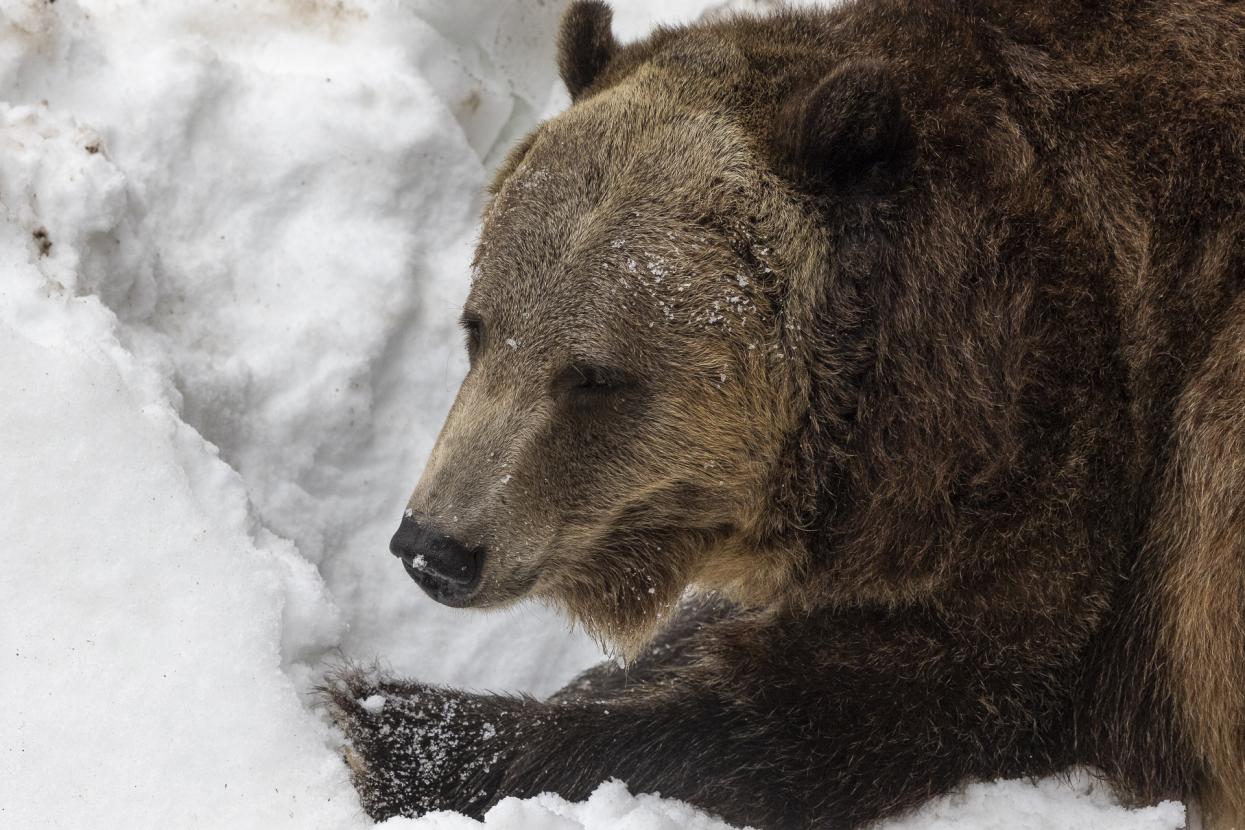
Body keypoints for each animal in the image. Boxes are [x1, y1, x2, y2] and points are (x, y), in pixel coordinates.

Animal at [323, 1, 1245, 827]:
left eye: (593, 377)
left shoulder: (1082, 511)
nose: (434, 546)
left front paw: (395, 727)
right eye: (478, 327)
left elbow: (840, 709)